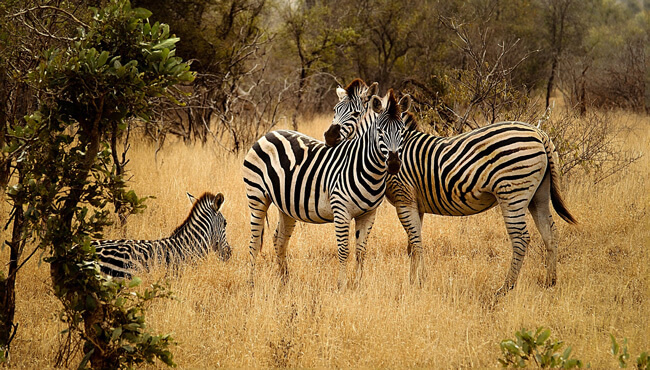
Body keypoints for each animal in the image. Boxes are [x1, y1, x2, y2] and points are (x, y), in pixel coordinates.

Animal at [243, 80, 410, 290]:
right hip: (256, 196)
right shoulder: (341, 212)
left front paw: (358, 285)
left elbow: (361, 251)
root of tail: (269, 133)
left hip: (285, 205)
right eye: (380, 131)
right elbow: (344, 250)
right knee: (255, 241)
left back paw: (284, 283)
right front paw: (342, 286)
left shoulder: (369, 214)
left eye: (402, 131)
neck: (364, 165)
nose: (394, 164)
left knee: (279, 239)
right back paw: (251, 283)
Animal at [326, 108, 576, 294]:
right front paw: (412, 282)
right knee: (550, 233)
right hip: (538, 195)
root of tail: (539, 133)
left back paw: (506, 288)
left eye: (353, 113)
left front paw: (419, 283)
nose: (328, 137)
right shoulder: (415, 204)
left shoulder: (404, 199)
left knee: (521, 238)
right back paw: (550, 282)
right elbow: (412, 246)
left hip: (512, 193)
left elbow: (416, 243)